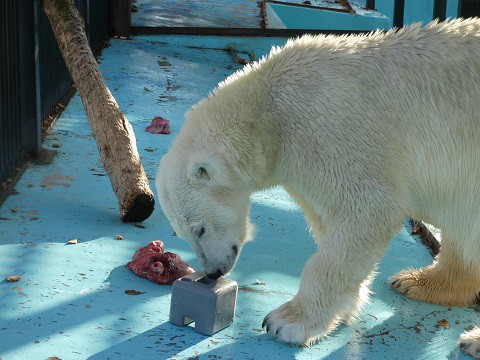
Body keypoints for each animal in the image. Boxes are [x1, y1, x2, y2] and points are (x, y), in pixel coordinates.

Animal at [158, 18, 480, 356]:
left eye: (200, 229)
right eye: (182, 233)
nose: (212, 273)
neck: (269, 112)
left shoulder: (330, 129)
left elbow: (368, 211)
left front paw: (286, 322)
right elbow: (328, 221)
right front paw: (343, 309)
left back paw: (472, 338)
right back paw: (421, 282)